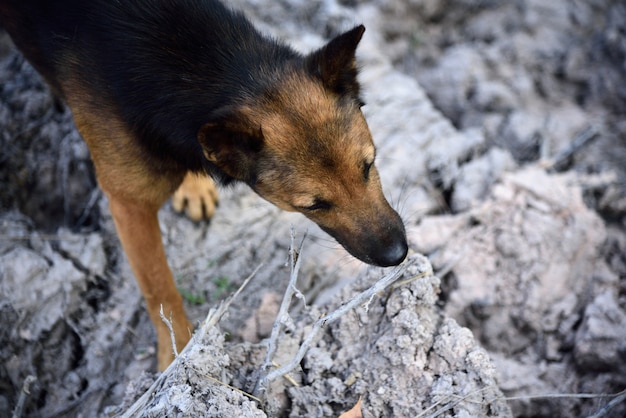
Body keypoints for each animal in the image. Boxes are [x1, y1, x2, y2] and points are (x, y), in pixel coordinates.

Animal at [0, 0, 408, 370]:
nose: (398, 255)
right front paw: (178, 353)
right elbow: (159, 289)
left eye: (368, 165)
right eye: (313, 205)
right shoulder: (128, 204)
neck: (195, 66)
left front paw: (193, 184)